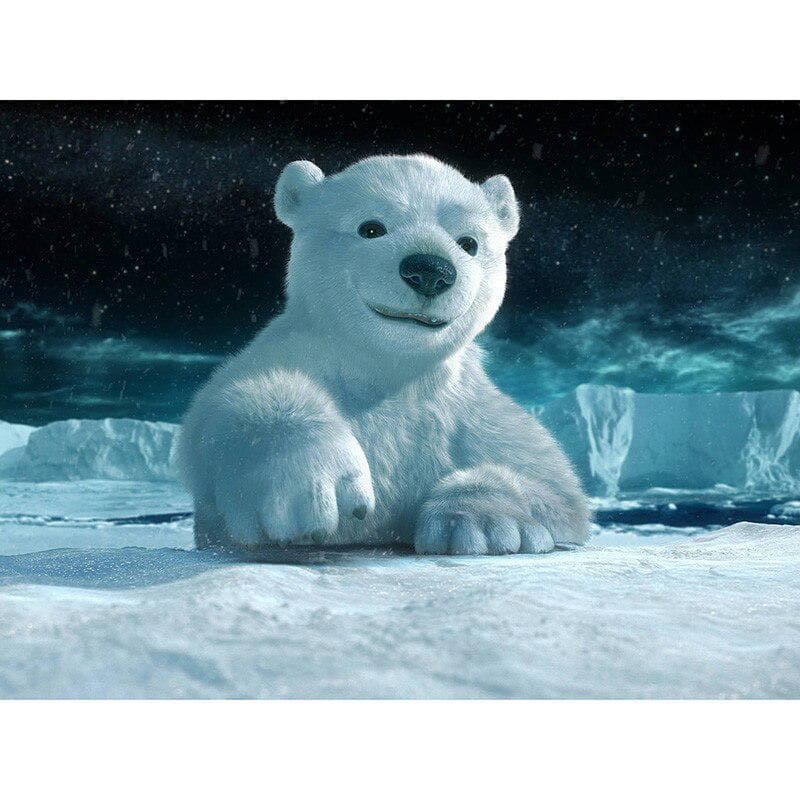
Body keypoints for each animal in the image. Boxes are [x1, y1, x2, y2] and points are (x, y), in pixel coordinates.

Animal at [178, 154, 591, 555]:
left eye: (469, 242)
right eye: (371, 228)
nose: (430, 270)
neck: (388, 372)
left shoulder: (467, 409)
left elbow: (554, 486)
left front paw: (483, 523)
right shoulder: (294, 352)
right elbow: (218, 413)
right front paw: (311, 485)